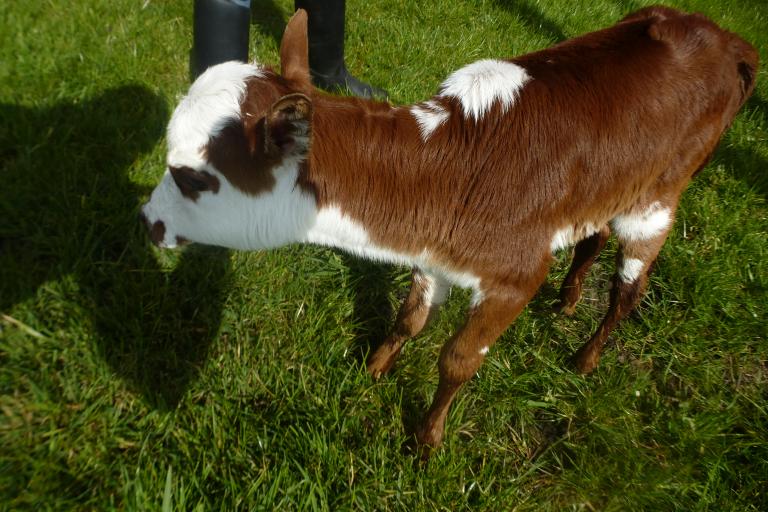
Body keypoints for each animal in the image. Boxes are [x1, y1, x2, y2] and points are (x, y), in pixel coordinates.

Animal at [142, 7, 756, 448]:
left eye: (189, 176)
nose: (147, 221)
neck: (443, 174)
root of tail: (726, 38)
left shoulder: (516, 273)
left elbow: (458, 360)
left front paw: (426, 439)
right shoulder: (433, 256)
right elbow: (410, 319)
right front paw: (373, 371)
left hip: (659, 195)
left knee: (629, 290)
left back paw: (586, 357)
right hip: (612, 184)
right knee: (594, 234)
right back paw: (566, 300)